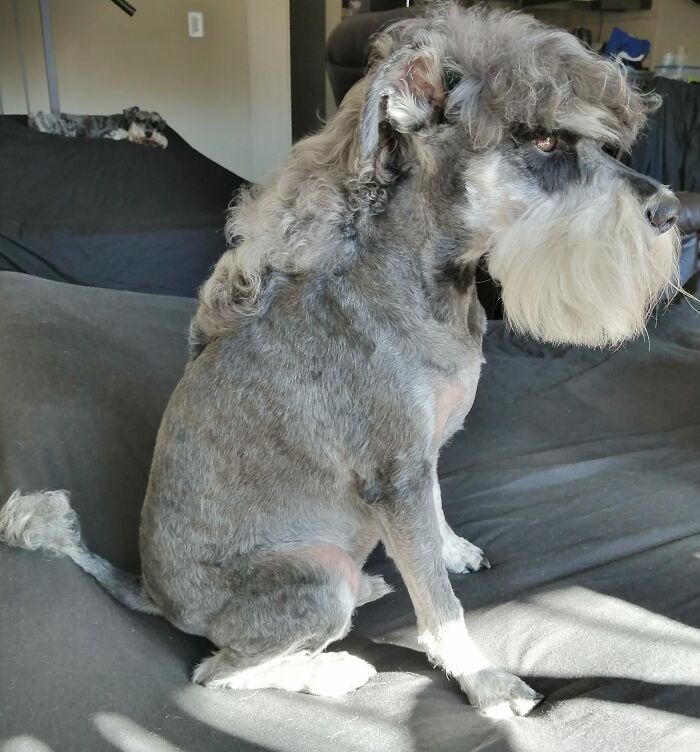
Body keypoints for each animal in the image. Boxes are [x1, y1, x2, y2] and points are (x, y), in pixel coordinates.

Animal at [0, 7, 680, 724]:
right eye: (544, 140)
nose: (674, 212)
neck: (423, 282)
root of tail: (153, 596)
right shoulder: (396, 475)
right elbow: (440, 609)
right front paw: (485, 681)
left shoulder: (418, 462)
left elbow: (434, 527)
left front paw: (453, 552)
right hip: (314, 580)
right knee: (218, 672)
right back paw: (334, 668)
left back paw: (372, 583)